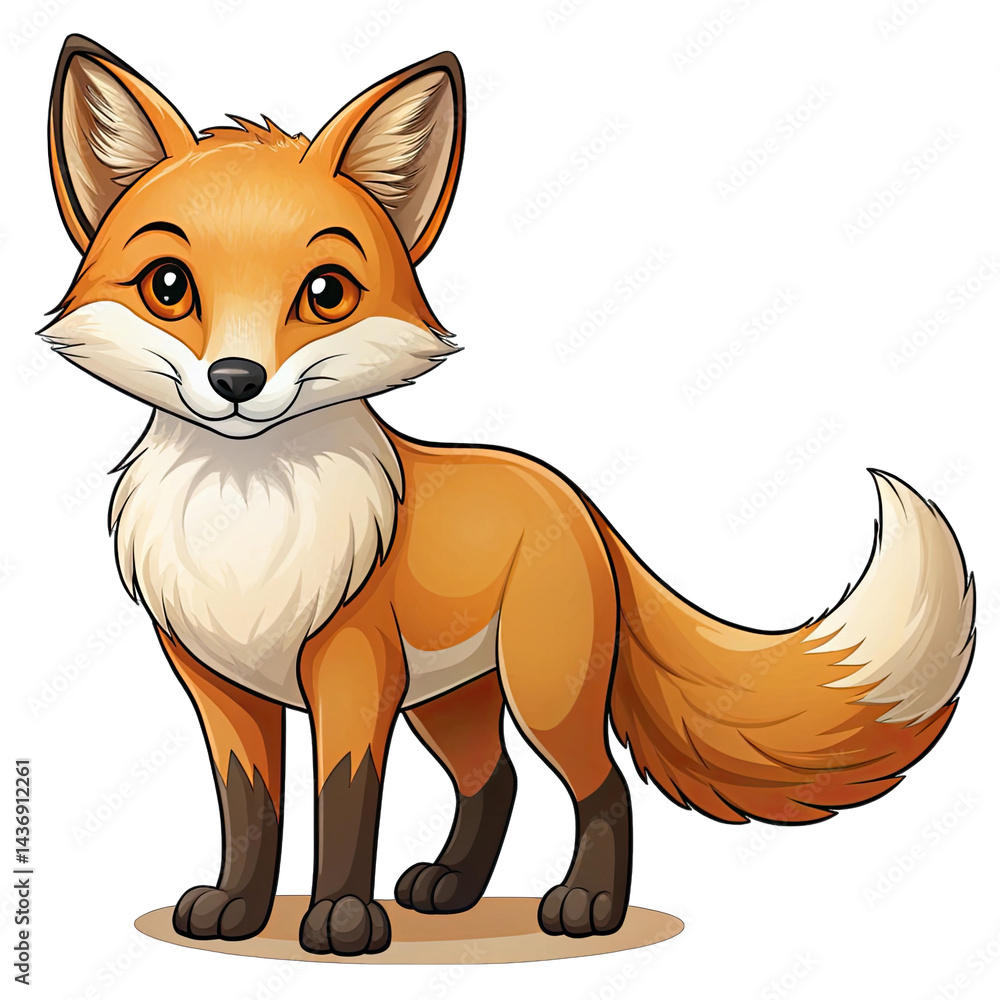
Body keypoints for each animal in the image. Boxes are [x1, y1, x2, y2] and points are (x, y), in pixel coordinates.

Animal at [41, 34, 976, 957]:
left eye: (326, 292)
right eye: (168, 286)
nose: (236, 381)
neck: (245, 530)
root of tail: (571, 495)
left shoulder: (353, 671)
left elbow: (344, 803)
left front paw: (341, 920)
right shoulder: (216, 685)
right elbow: (249, 809)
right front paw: (236, 909)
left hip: (541, 690)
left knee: (598, 785)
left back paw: (586, 905)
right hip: (450, 700)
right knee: (495, 779)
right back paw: (451, 889)